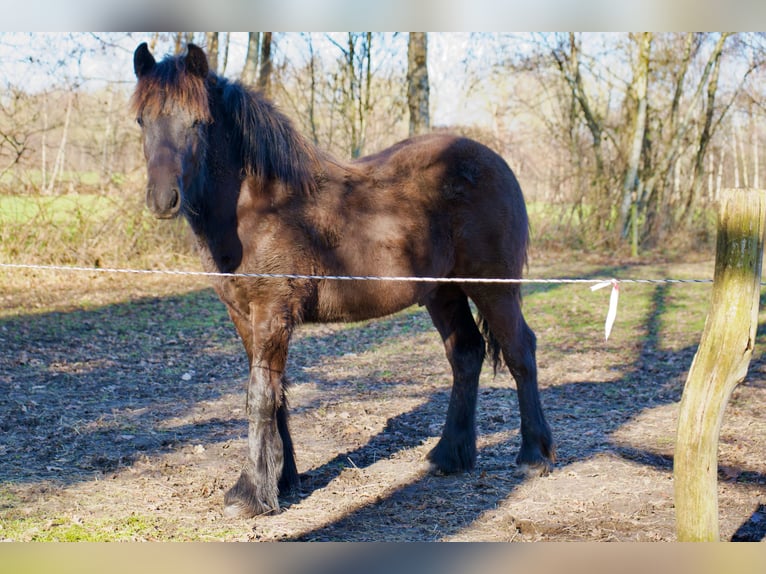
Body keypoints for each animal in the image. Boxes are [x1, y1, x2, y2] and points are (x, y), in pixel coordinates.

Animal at [131, 42, 555, 518]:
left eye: (198, 122)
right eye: (142, 120)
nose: (163, 199)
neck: (259, 209)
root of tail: (496, 162)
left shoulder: (272, 311)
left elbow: (260, 396)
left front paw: (250, 493)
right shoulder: (243, 314)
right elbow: (276, 394)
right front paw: (283, 480)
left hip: (492, 286)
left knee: (520, 351)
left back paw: (533, 456)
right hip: (441, 293)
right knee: (466, 354)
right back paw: (449, 456)